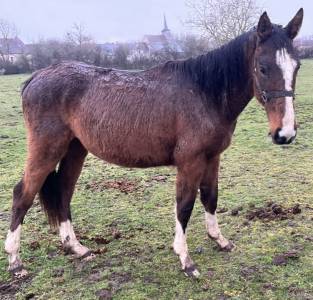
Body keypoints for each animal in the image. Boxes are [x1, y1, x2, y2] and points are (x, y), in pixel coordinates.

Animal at [5, 8, 302, 278]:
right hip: (46, 149)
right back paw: (15, 261)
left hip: (75, 150)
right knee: (23, 194)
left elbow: (210, 197)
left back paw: (77, 248)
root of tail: (36, 76)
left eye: (296, 66)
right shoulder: (190, 162)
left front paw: (219, 240)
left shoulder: (213, 157)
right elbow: (184, 206)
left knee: (64, 192)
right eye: (262, 67)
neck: (204, 92)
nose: (284, 133)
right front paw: (185, 259)